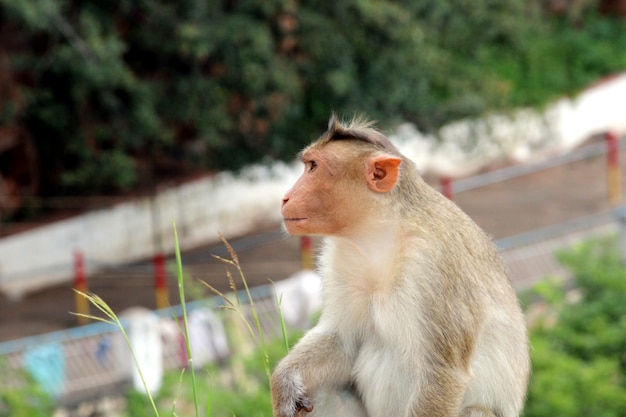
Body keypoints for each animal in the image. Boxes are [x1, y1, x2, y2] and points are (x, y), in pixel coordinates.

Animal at [270, 114, 528, 416]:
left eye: (313, 167)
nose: (285, 197)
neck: (380, 233)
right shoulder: (338, 257)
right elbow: (342, 339)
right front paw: (284, 382)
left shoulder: (434, 265)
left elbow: (442, 372)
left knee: (474, 411)